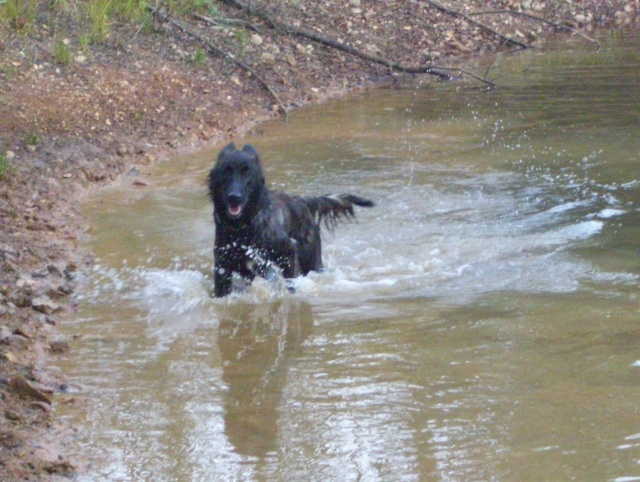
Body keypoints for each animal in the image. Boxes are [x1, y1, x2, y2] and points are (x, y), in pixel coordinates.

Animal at [208, 142, 372, 298]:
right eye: (226, 171)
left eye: (247, 172)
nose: (234, 197)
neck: (243, 228)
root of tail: (302, 202)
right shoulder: (222, 265)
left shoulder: (288, 252)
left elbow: (289, 282)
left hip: (312, 261)